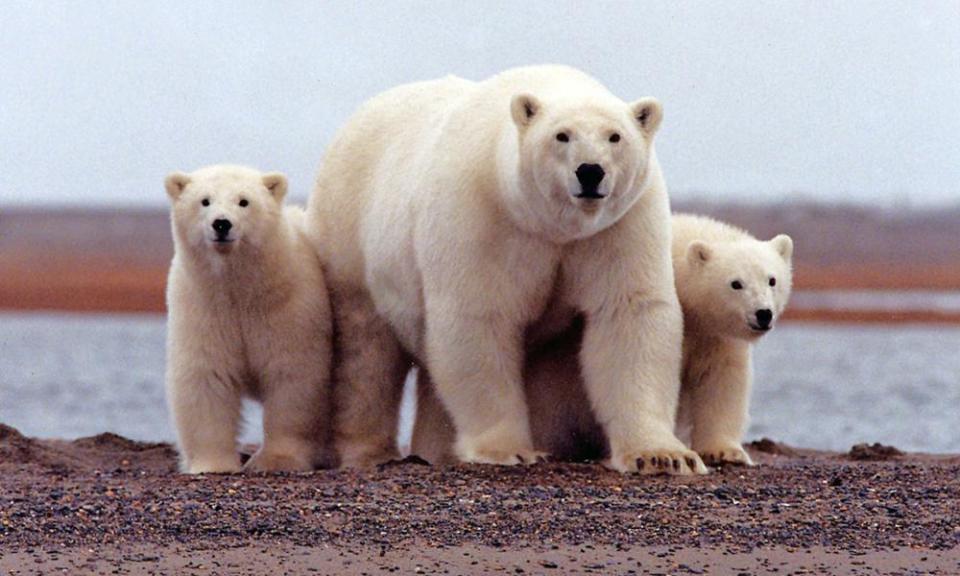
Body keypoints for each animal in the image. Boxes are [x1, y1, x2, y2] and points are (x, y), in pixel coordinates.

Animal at [169, 164, 338, 474]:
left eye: (244, 201)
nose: (221, 224)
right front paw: (213, 464)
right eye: (205, 200)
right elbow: (206, 377)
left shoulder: (289, 308)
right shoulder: (203, 308)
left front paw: (276, 460)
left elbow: (292, 378)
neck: (240, 290)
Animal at [308, 65, 704, 474]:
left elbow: (628, 314)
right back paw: (369, 452)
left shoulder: (619, 225)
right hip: (351, 238)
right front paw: (508, 449)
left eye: (615, 136)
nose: (590, 172)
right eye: (562, 135)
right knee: (366, 353)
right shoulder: (483, 216)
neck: (551, 225)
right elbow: (479, 318)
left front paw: (662, 455)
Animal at [412, 214, 796, 470]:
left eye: (772, 280)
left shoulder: (714, 335)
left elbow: (721, 380)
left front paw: (725, 451)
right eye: (735, 283)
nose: (763, 314)